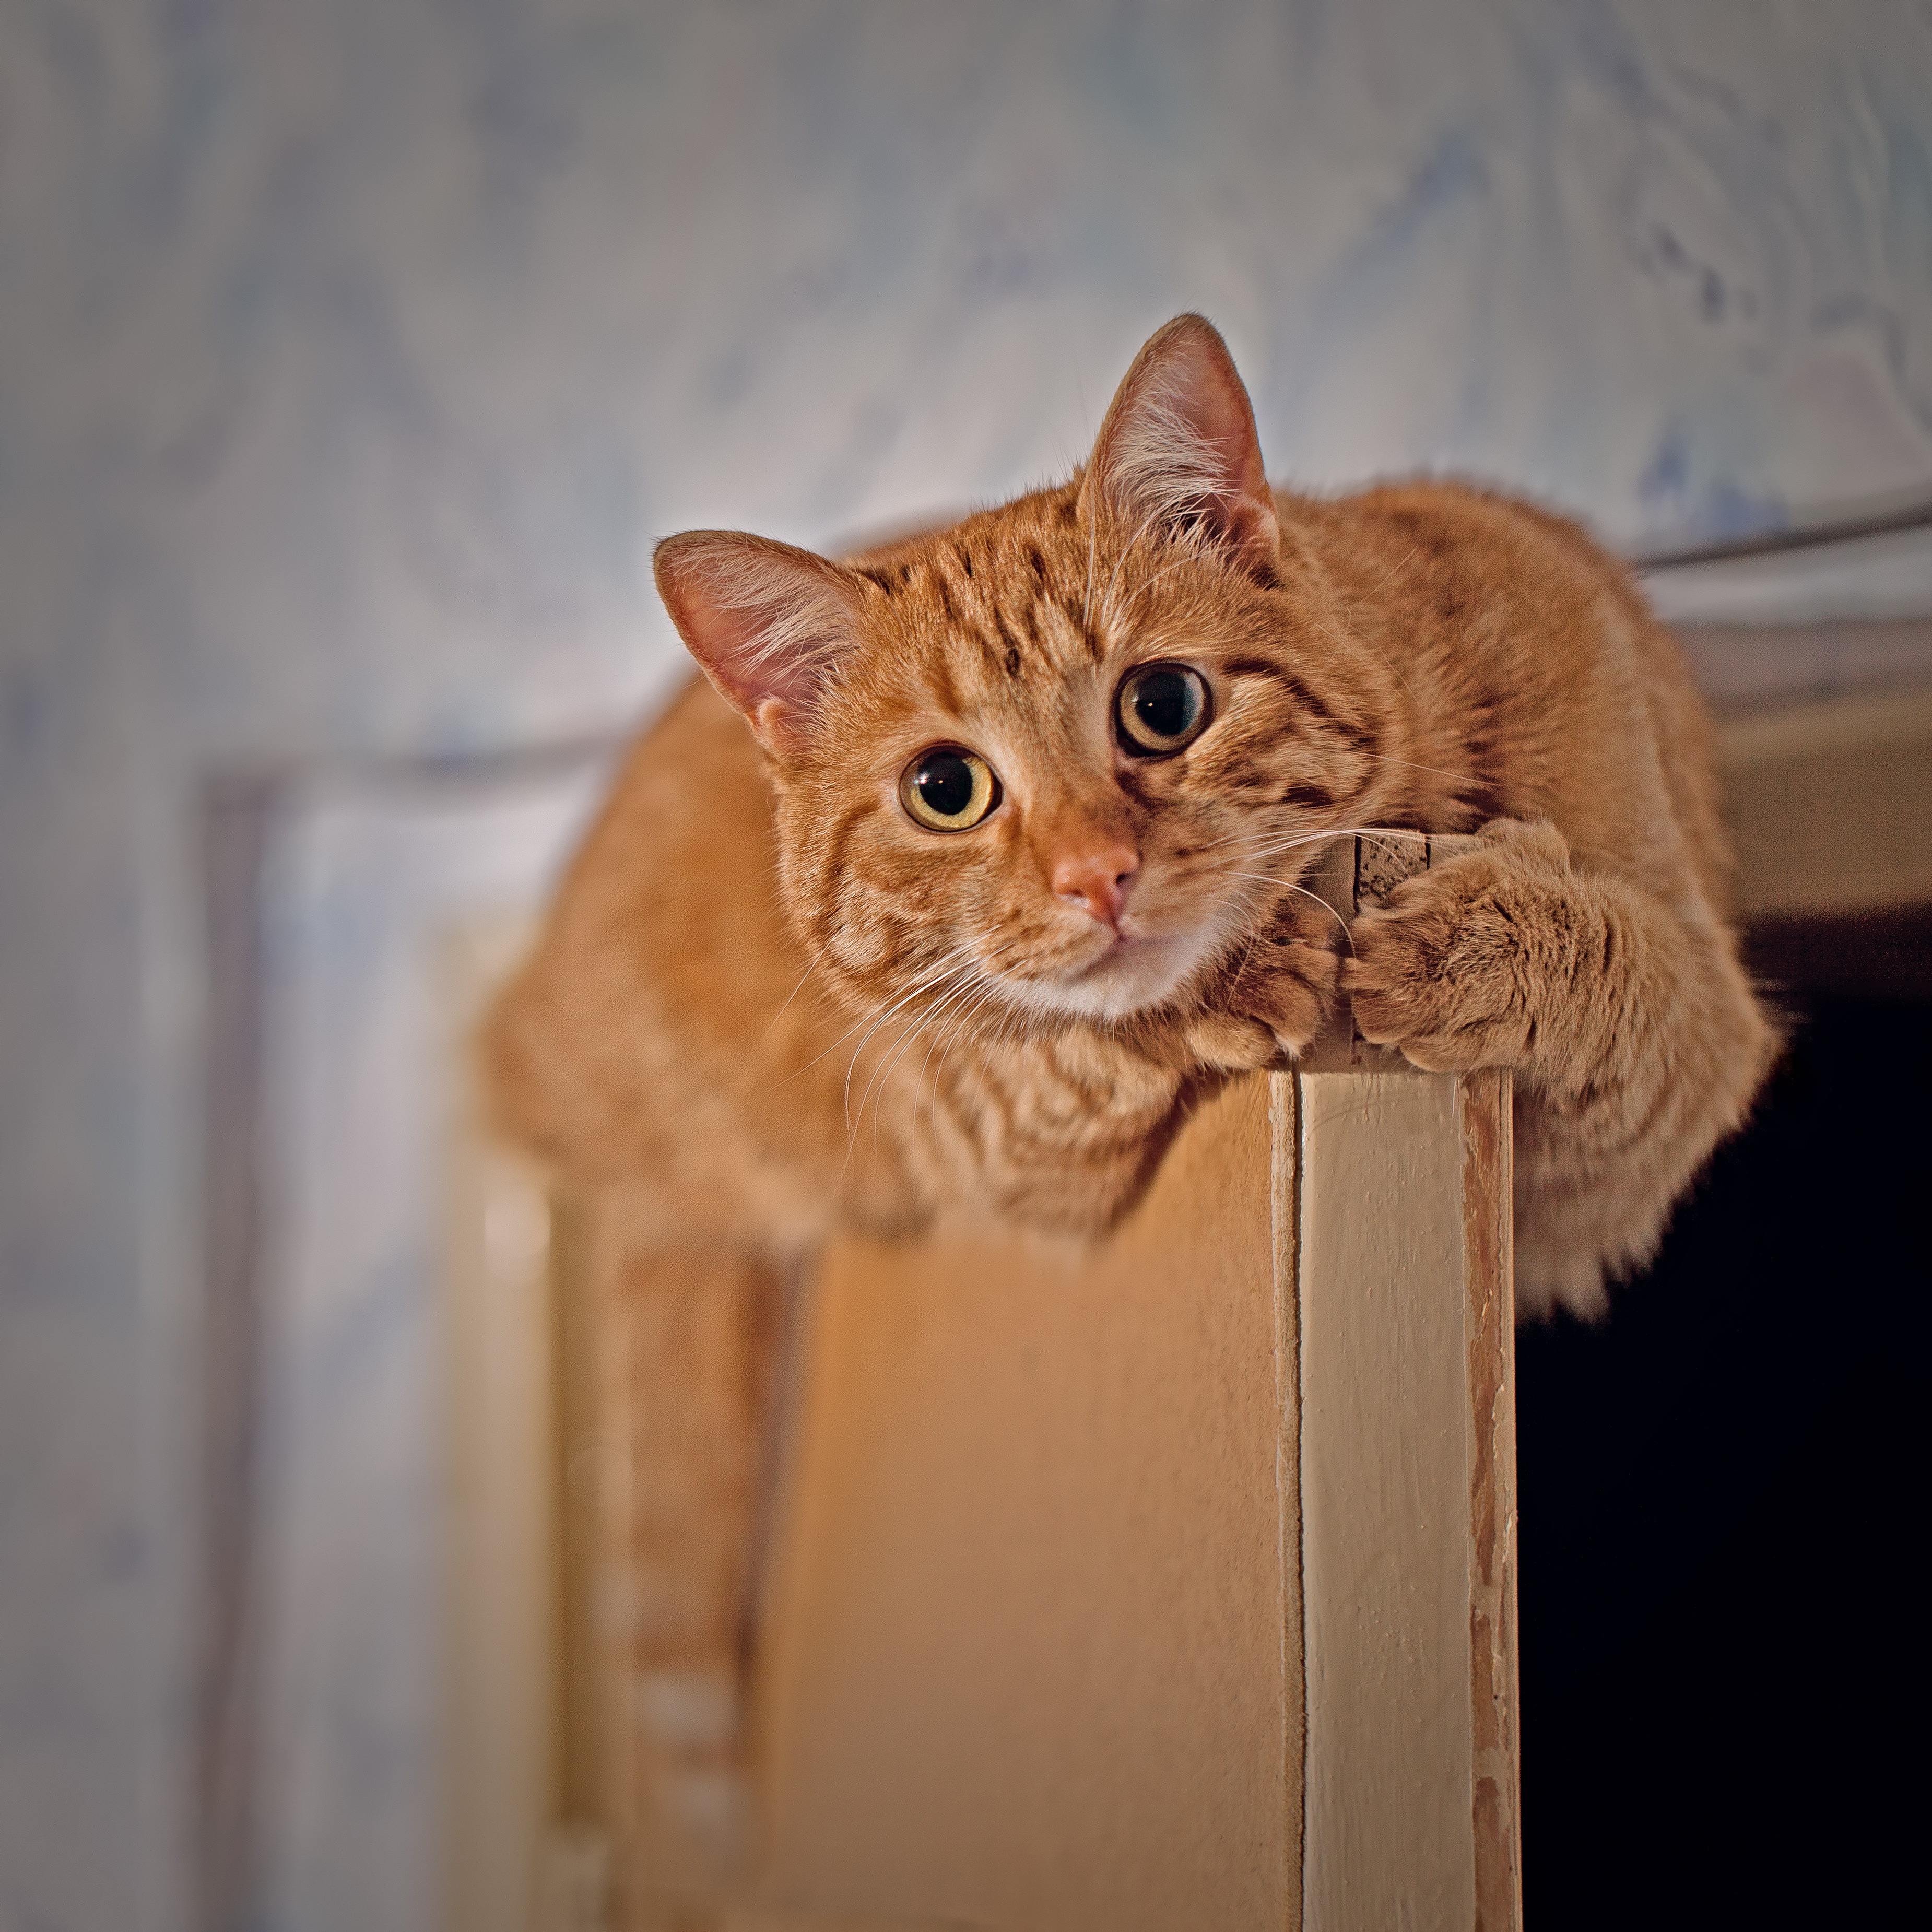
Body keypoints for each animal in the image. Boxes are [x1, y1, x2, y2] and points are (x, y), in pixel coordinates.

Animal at [483, 316, 1770, 1777]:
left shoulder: (1633, 1126)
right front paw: (1237, 969)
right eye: (944, 788)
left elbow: (1613, 964)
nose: (1097, 874)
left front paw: (1469, 935)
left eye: (1162, 703)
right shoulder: (961, 1123)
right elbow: (1065, 1045)